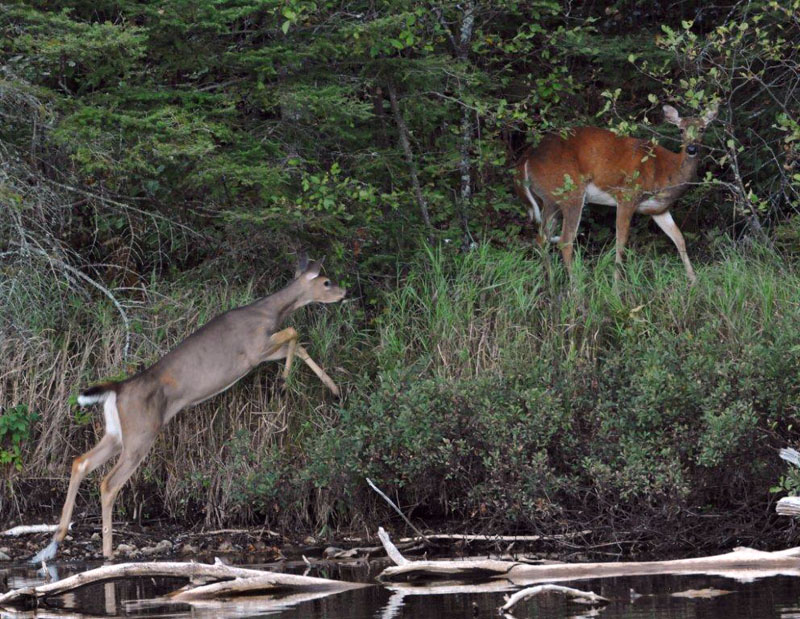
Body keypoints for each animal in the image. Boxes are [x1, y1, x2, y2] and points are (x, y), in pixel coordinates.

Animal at [30, 256, 346, 563]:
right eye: (327, 281)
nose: (345, 292)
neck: (269, 312)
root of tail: (117, 390)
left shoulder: (262, 353)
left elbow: (299, 344)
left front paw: (333, 390)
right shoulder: (254, 350)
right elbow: (294, 332)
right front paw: (284, 383)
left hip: (116, 433)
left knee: (80, 462)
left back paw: (53, 544)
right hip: (141, 433)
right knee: (108, 483)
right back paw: (107, 552)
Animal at [515, 103, 718, 283]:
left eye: (702, 128)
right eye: (681, 130)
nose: (692, 149)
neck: (666, 171)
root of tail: (527, 157)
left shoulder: (657, 209)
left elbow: (679, 239)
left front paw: (694, 282)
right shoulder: (627, 195)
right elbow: (621, 240)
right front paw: (616, 286)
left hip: (550, 200)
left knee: (542, 238)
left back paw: (551, 282)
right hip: (570, 191)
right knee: (564, 240)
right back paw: (575, 289)